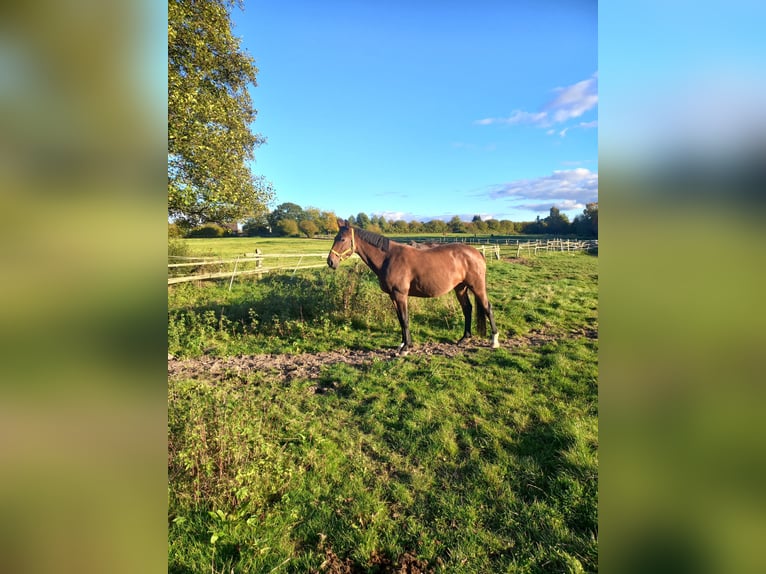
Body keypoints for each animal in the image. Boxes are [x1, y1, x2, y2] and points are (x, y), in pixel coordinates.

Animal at [327, 219, 499, 354]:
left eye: (342, 239)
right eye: (335, 237)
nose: (330, 261)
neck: (388, 258)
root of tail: (477, 253)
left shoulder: (400, 294)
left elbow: (405, 319)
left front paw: (405, 349)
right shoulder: (393, 296)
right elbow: (401, 319)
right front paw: (404, 344)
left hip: (477, 286)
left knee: (487, 307)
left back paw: (494, 341)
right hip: (460, 288)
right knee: (467, 309)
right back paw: (464, 338)